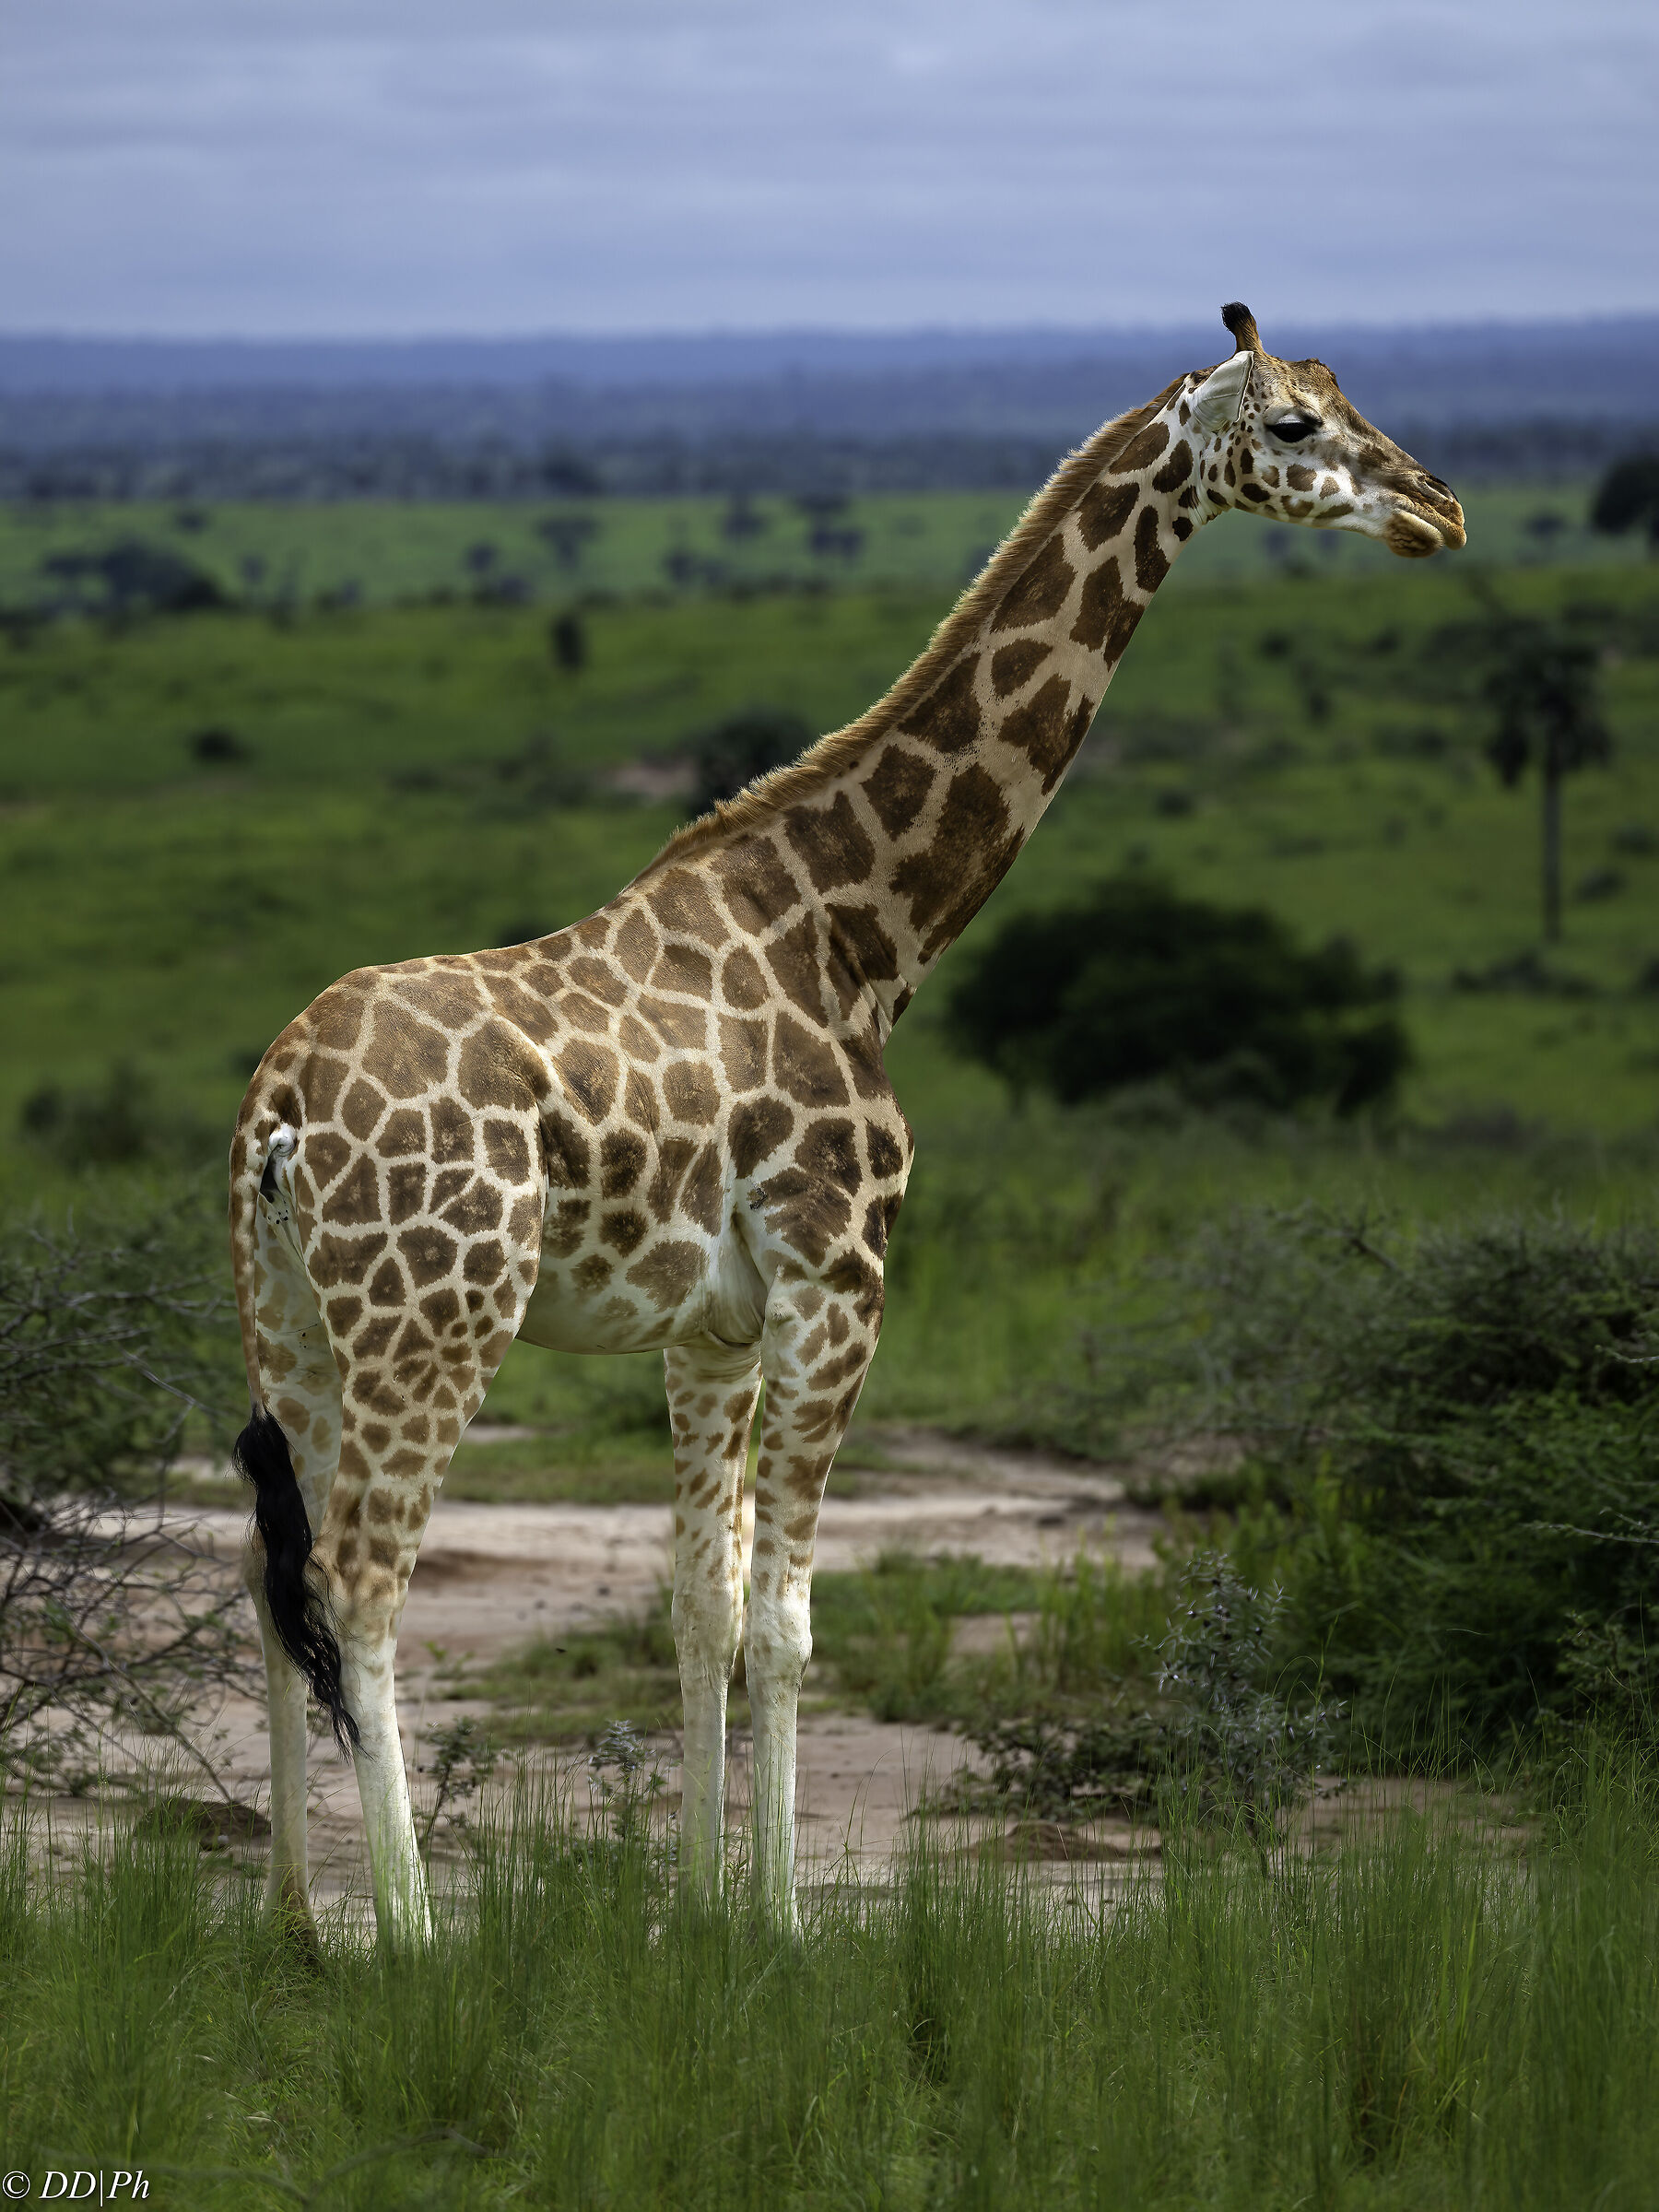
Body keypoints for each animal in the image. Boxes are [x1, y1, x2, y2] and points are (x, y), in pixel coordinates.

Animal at [229, 304, 1464, 1942]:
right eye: (1293, 428)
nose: (1442, 511)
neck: (862, 935)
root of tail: (281, 1104)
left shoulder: (712, 1326)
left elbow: (702, 1604)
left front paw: (695, 1912)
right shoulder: (842, 1284)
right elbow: (790, 1621)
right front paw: (784, 1924)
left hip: (290, 1324)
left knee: (278, 1577)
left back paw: (299, 1929)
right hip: (435, 1316)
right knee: (364, 1584)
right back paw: (415, 1940)